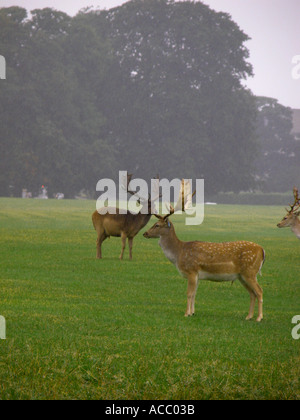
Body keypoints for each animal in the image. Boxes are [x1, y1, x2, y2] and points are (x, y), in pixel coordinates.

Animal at [143, 185, 264, 322]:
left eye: (157, 225)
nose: (145, 233)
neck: (179, 253)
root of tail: (262, 250)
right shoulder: (197, 275)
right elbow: (194, 294)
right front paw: (192, 312)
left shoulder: (191, 270)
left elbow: (189, 293)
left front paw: (186, 313)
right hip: (242, 276)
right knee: (252, 293)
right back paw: (248, 316)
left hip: (250, 271)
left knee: (259, 291)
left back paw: (259, 317)